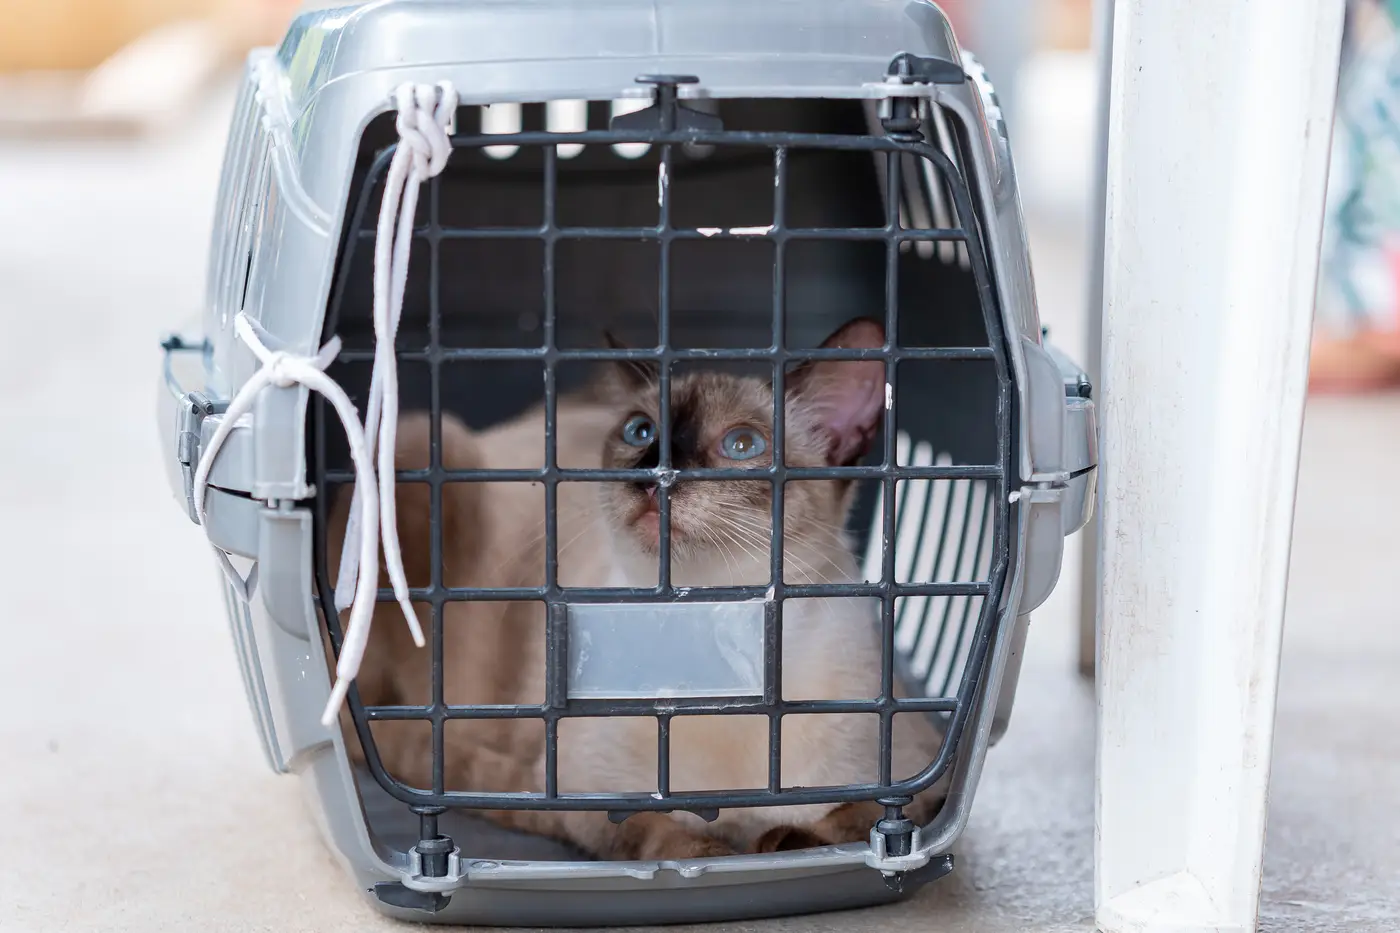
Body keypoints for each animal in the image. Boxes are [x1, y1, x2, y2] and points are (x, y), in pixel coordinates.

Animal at [327, 317, 947, 860]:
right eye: (640, 432)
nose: (654, 475)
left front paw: (785, 841)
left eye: (742, 445)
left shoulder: (919, 771)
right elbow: (663, 833)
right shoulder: (576, 792)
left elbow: (872, 815)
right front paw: (716, 855)